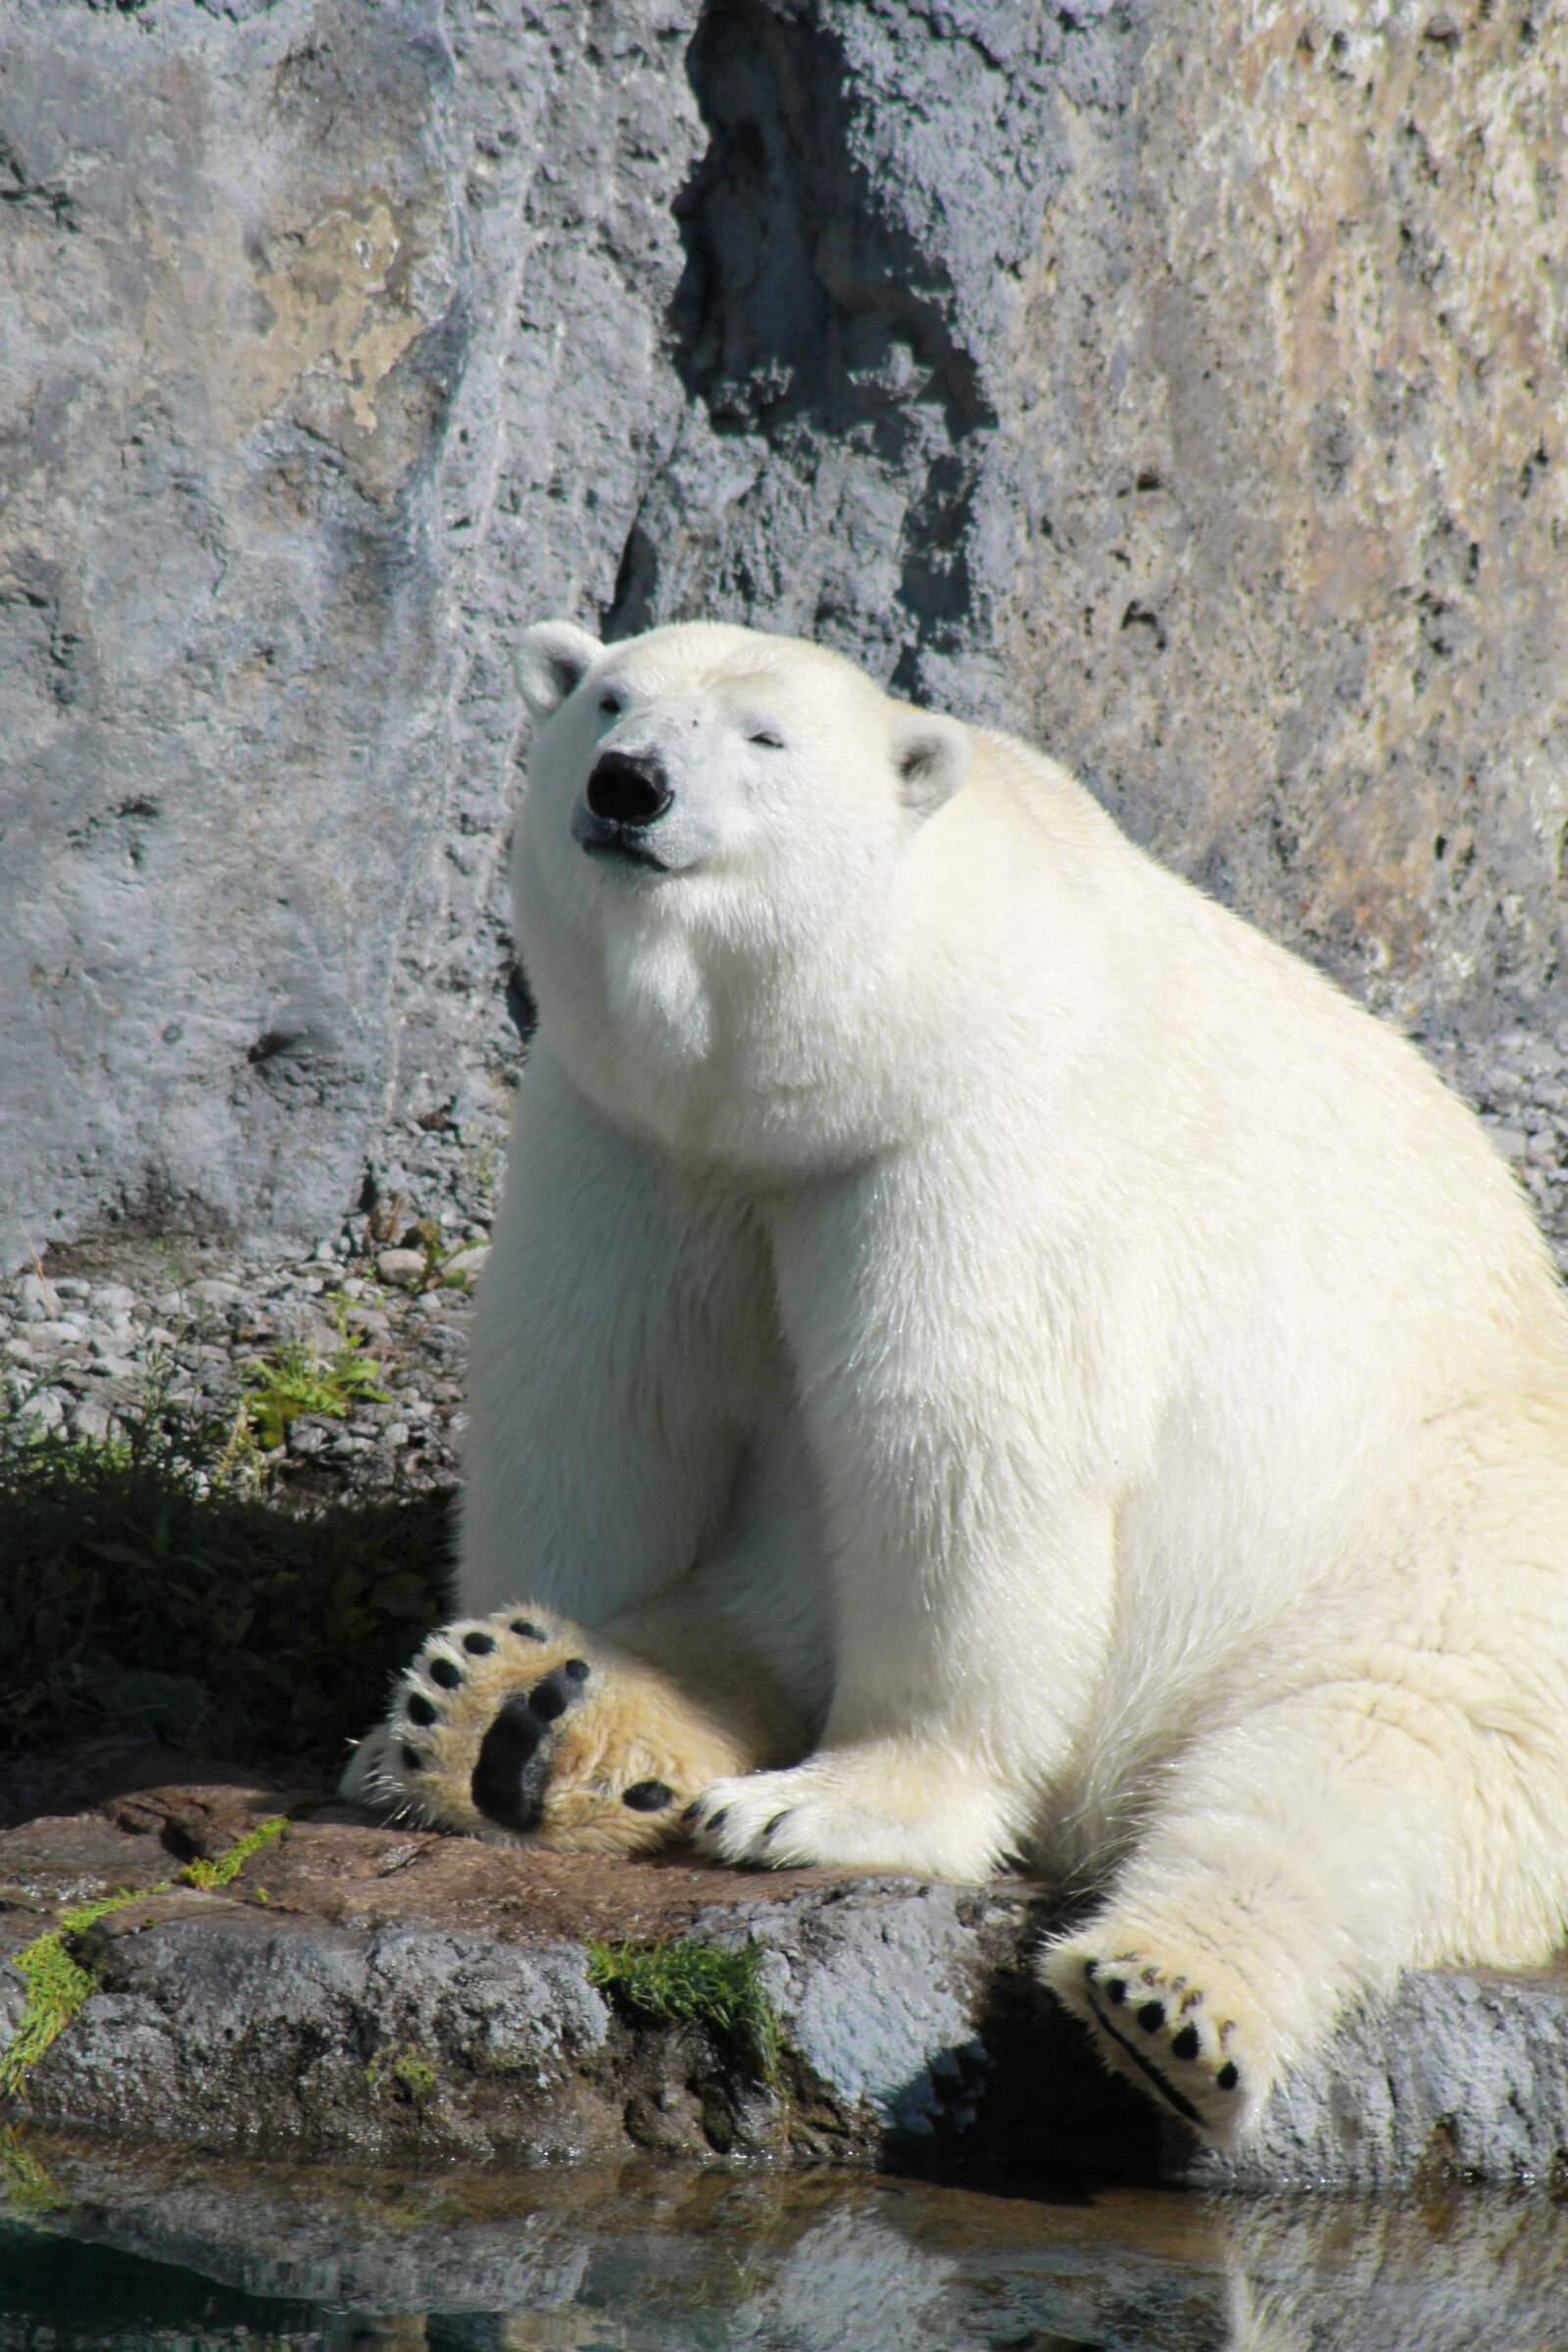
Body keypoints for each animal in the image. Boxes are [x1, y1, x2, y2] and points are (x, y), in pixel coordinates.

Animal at [343, 617, 1568, 2147]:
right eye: (610, 699)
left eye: (766, 740)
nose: (629, 786)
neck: (887, 1026)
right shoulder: (630, 1141)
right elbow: (597, 1402)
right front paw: (424, 1724)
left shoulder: (975, 1144)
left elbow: (957, 1454)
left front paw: (824, 1809)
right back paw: (519, 1707)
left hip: (1447, 1528)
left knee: (1370, 1747)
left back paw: (1165, 2000)